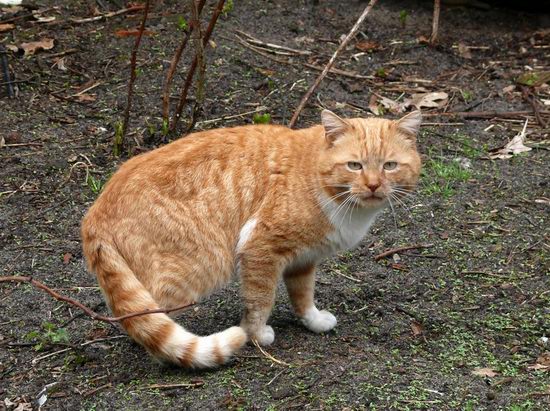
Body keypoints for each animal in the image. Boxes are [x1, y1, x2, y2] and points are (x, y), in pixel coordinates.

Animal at [82, 110, 424, 370]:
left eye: (389, 165)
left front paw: (312, 320)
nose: (373, 185)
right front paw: (257, 335)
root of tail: (94, 213)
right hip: (199, 265)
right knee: (148, 323)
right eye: (355, 165)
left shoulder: (303, 259)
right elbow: (260, 300)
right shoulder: (261, 248)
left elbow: (303, 295)